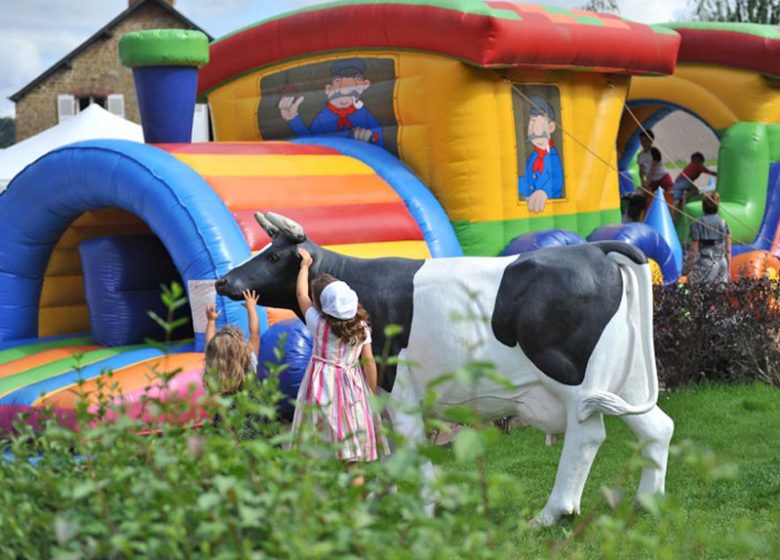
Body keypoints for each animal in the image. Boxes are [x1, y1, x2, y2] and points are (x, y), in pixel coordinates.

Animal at [216, 212, 672, 528]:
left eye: (274, 255)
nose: (223, 281)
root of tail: (595, 249)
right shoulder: (380, 397)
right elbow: (390, 454)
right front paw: (377, 504)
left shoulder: (399, 390)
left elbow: (411, 449)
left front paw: (422, 508)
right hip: (626, 382)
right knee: (658, 427)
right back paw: (646, 503)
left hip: (573, 379)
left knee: (587, 436)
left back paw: (550, 514)